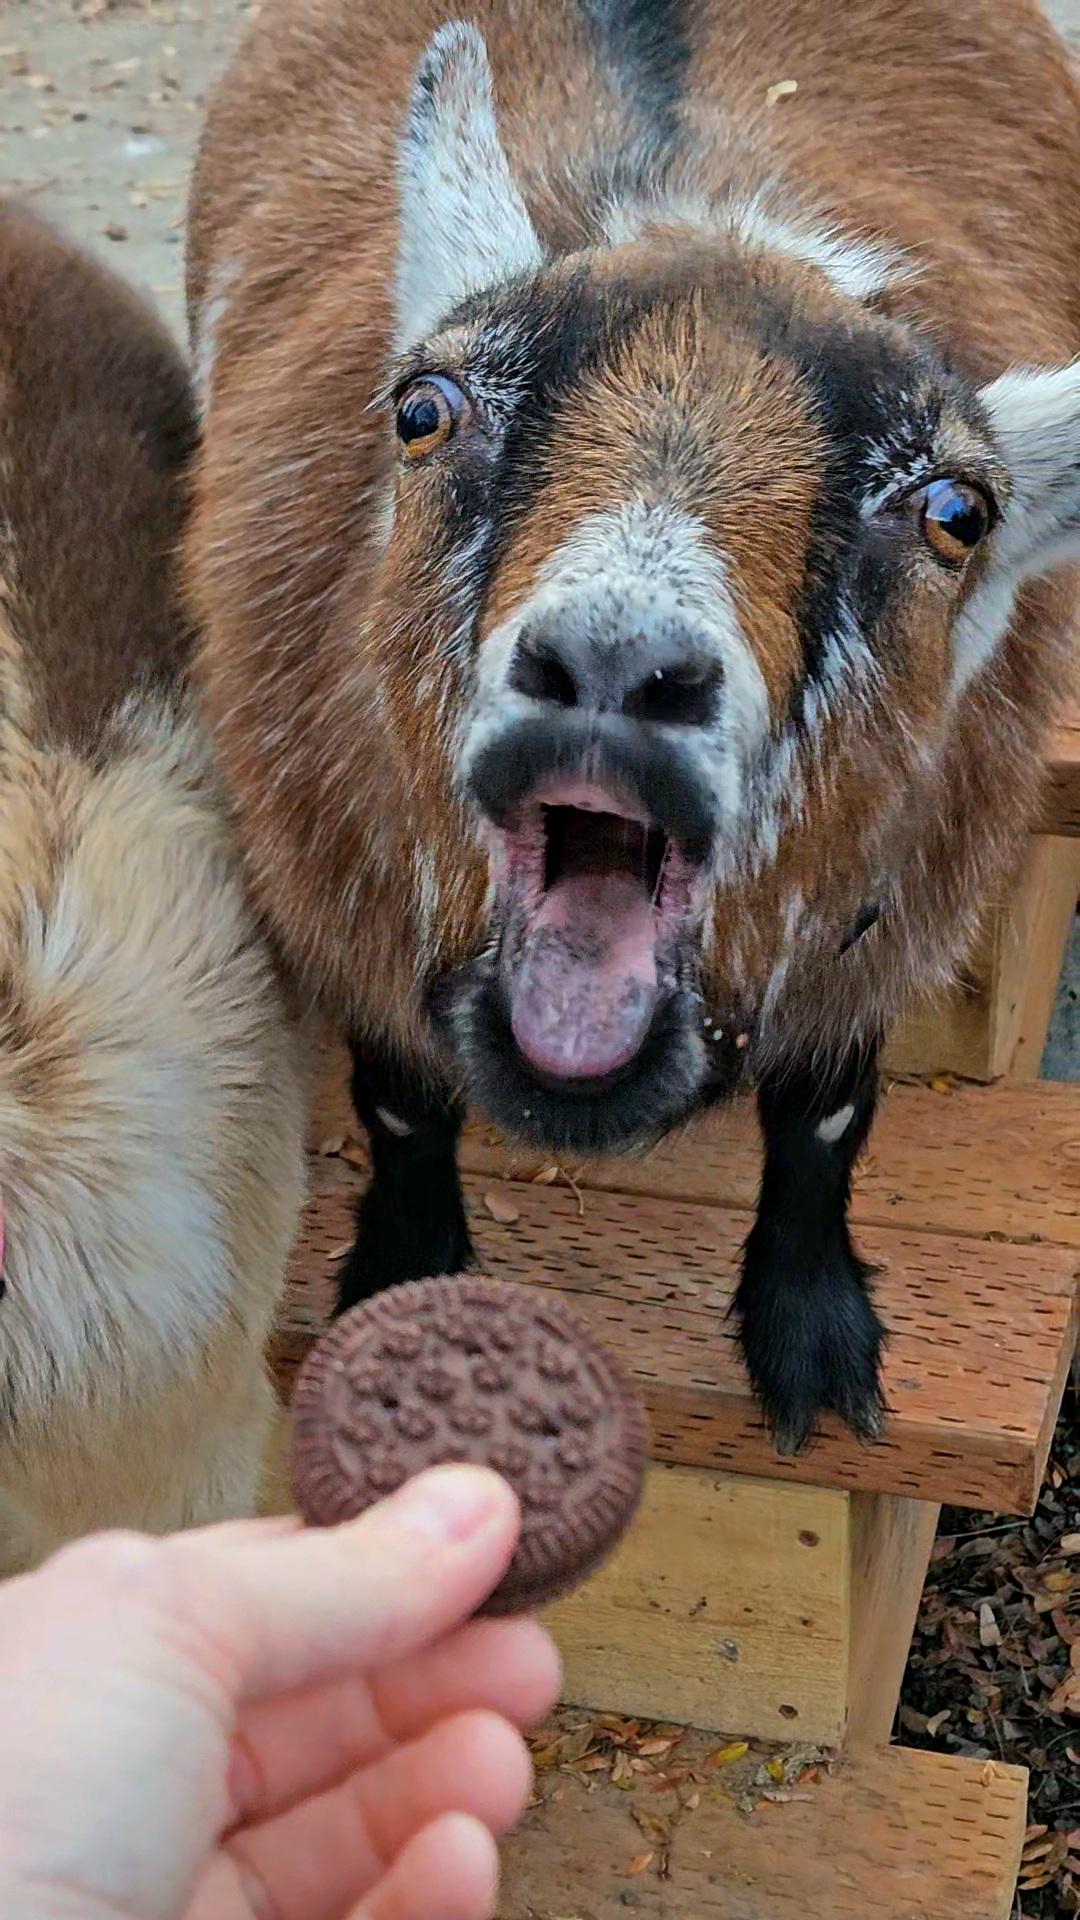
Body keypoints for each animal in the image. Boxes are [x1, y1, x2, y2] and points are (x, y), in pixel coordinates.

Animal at [186, 0, 1080, 1454]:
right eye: (423, 409)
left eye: (958, 511)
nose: (615, 663)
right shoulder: (338, 894)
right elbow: (399, 1101)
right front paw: (405, 1286)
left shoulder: (883, 912)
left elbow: (827, 1115)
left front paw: (812, 1340)